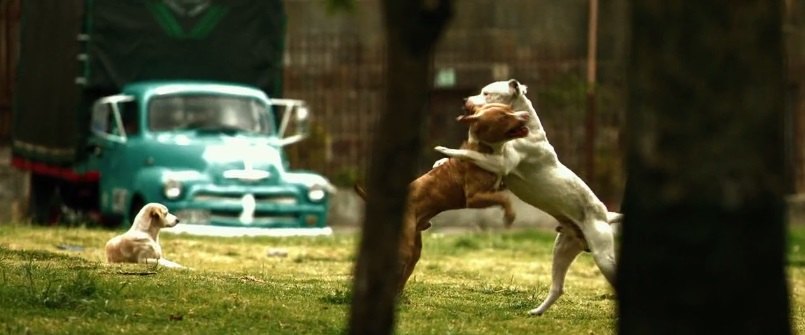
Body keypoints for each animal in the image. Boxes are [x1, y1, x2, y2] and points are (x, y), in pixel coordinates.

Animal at [356, 103, 532, 294]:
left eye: (510, 109)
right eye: (503, 117)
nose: (526, 114)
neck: (484, 149)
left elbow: (503, 192)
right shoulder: (474, 197)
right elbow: (504, 198)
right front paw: (509, 216)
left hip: (415, 248)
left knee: (404, 273)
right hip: (405, 245)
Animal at [436, 80, 620, 316]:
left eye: (487, 93)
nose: (464, 99)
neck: (526, 129)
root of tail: (606, 215)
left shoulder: (502, 163)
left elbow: (469, 154)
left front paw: (445, 150)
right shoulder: (499, 170)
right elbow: (469, 157)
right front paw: (440, 162)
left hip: (602, 256)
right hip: (562, 249)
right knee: (558, 288)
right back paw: (537, 312)